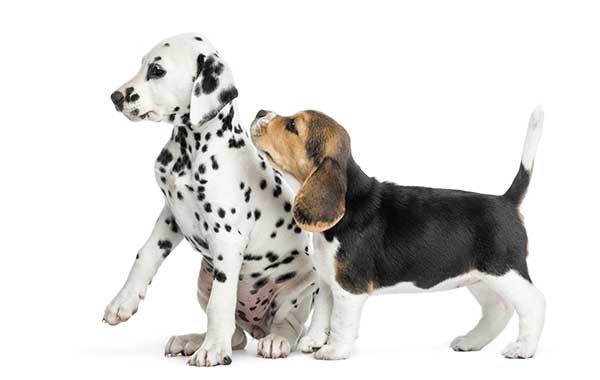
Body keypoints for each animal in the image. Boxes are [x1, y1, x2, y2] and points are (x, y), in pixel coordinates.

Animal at [103, 34, 318, 366]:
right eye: (142, 65)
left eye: (156, 70)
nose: (115, 97)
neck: (190, 149)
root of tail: (257, 326)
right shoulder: (170, 217)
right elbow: (145, 255)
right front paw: (123, 302)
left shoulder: (227, 239)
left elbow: (221, 303)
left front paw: (214, 351)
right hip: (203, 281)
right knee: (237, 334)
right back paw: (192, 340)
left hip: (301, 288)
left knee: (288, 327)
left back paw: (274, 341)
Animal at [251, 107, 548, 360]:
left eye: (292, 125)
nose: (260, 112)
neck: (348, 202)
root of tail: (506, 201)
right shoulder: (327, 282)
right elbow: (322, 315)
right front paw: (312, 341)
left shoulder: (349, 288)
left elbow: (339, 321)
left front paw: (334, 350)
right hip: (478, 277)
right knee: (498, 309)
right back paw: (471, 342)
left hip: (504, 270)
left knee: (534, 302)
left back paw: (523, 348)